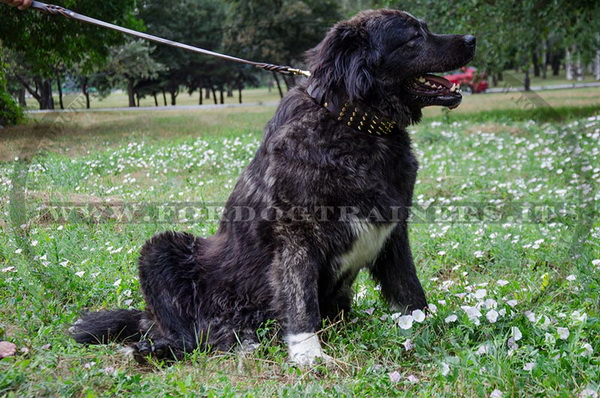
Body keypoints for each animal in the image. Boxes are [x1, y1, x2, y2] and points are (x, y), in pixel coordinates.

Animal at [70, 9, 476, 366]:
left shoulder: (393, 232)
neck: (355, 125)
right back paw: (162, 348)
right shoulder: (296, 236)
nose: (472, 40)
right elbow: (300, 302)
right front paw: (309, 354)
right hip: (160, 249)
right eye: (413, 37)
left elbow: (410, 291)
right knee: (186, 336)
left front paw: (431, 326)